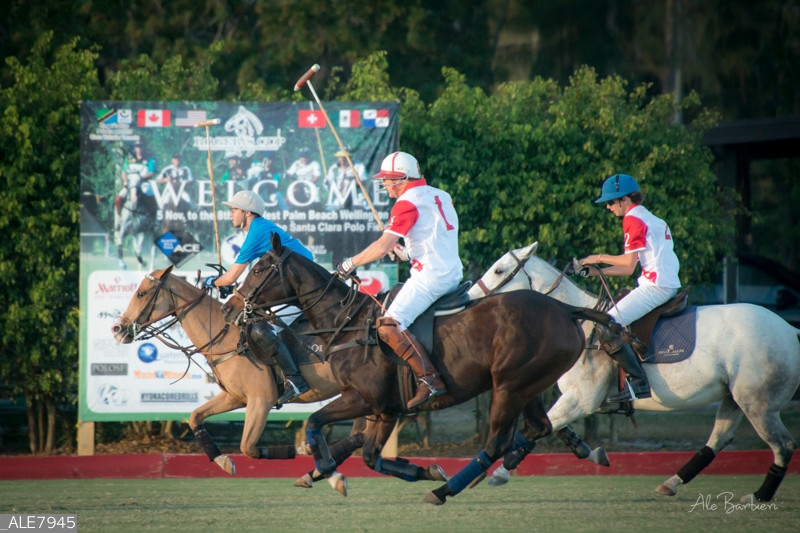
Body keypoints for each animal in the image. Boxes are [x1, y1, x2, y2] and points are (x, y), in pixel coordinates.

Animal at [110, 265, 362, 494]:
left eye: (141, 293)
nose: (117, 328)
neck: (225, 338)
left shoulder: (261, 400)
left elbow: (248, 447)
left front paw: (305, 449)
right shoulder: (235, 397)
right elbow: (195, 417)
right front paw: (222, 460)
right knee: (358, 435)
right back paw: (319, 472)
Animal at [224, 233, 614, 505]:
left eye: (259, 269)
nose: (229, 307)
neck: (347, 323)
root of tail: (566, 310)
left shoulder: (365, 399)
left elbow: (315, 423)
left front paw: (333, 476)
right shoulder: (386, 410)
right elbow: (370, 456)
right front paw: (426, 468)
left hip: (509, 386)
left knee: (497, 441)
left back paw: (446, 491)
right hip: (527, 385)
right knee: (538, 426)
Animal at [469, 242, 800, 502]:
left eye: (499, 270)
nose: (470, 298)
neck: (576, 322)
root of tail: (791, 330)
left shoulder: (583, 398)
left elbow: (537, 429)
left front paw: (498, 473)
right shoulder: (572, 397)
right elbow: (553, 427)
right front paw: (593, 453)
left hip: (758, 402)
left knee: (783, 445)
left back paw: (759, 496)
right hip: (734, 397)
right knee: (719, 439)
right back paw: (671, 483)